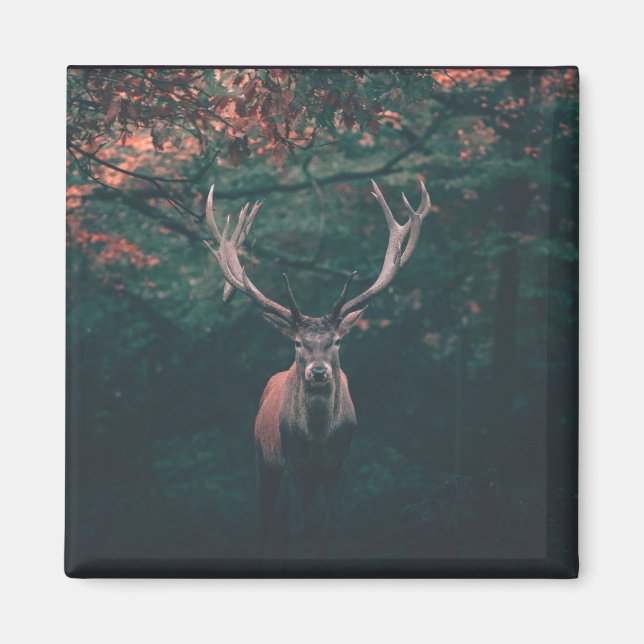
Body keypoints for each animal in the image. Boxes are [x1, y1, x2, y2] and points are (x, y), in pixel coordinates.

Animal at [203, 179, 431, 556]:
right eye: (298, 342)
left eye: (337, 341)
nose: (318, 372)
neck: (319, 438)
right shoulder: (292, 465)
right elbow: (297, 529)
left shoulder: (340, 467)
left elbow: (330, 529)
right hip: (261, 458)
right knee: (267, 521)